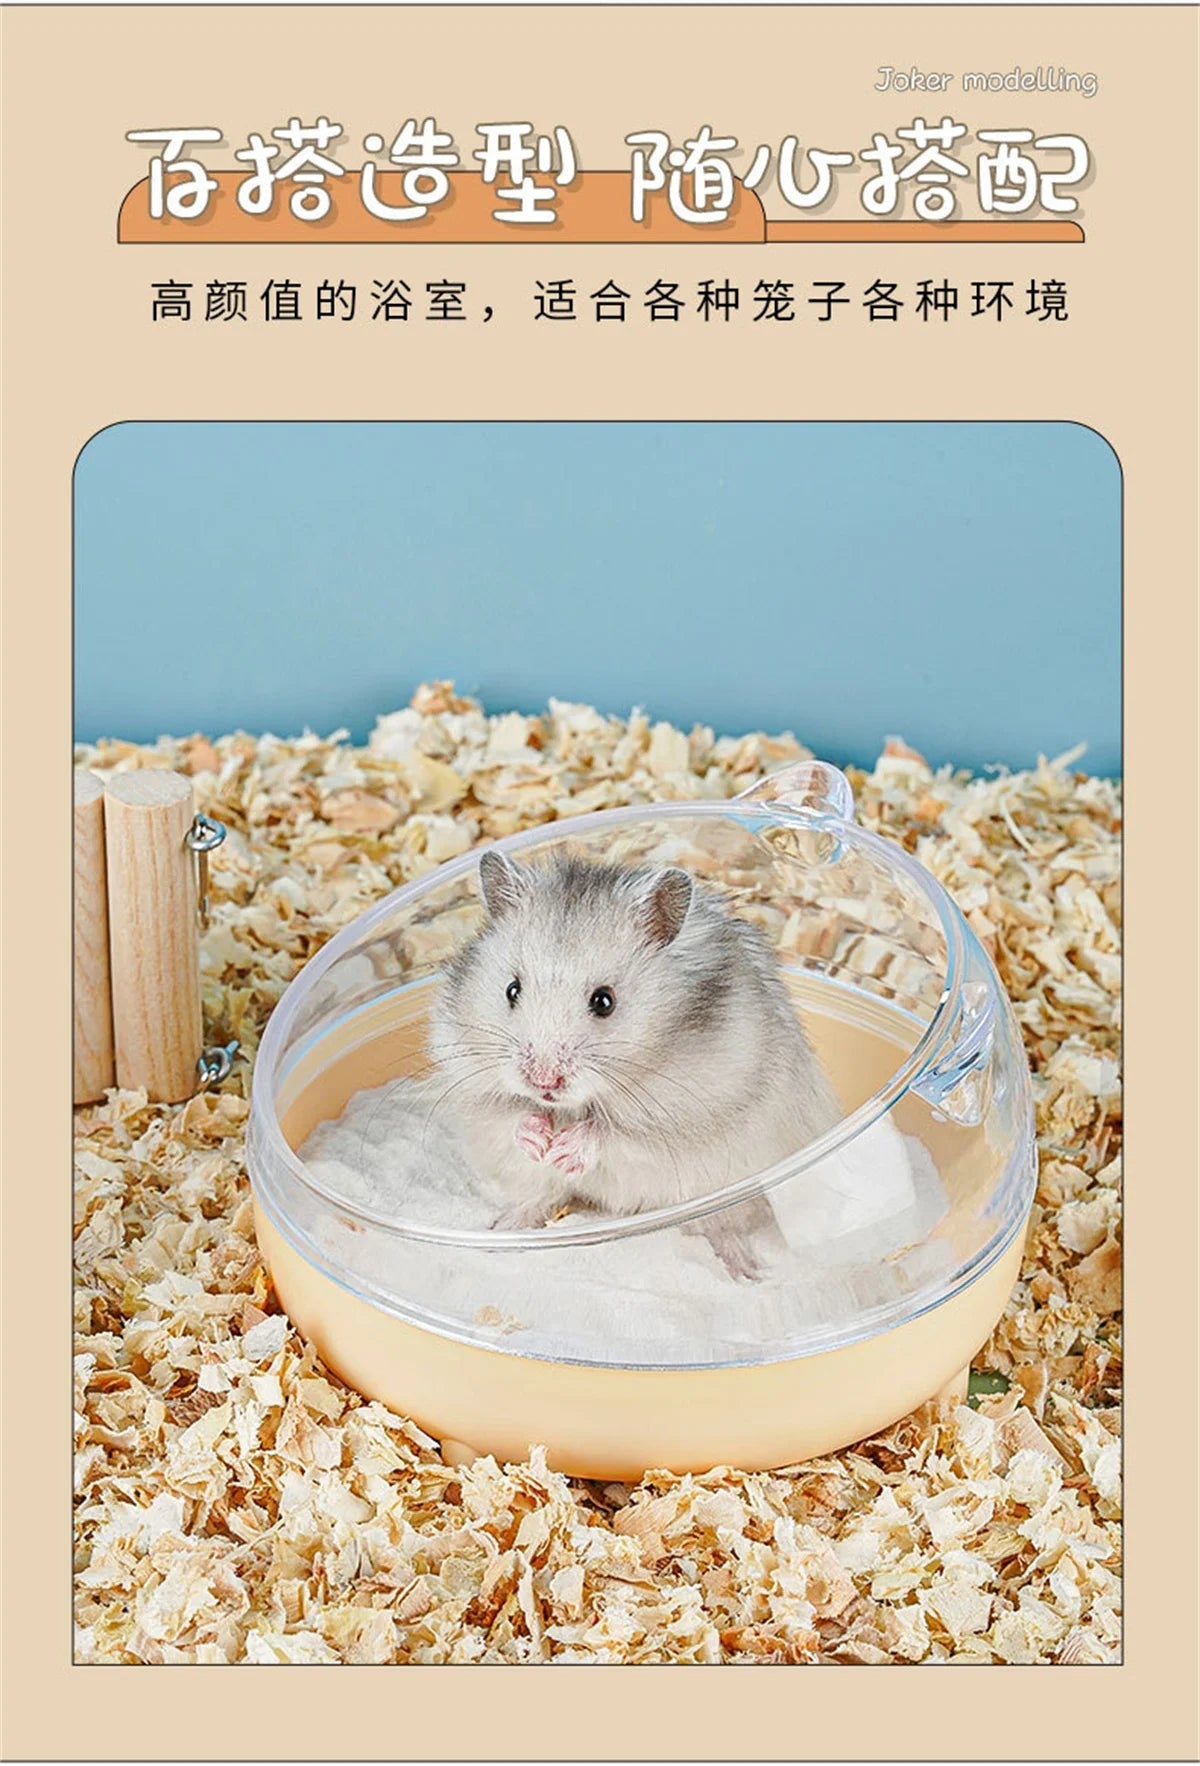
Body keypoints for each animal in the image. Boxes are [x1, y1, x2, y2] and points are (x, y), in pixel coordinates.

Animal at [427, 849, 844, 1277]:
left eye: (604, 1001)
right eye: (512, 990)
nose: (543, 1081)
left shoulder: (687, 1116)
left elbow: (617, 1134)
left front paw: (564, 1150)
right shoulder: (471, 1080)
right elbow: (507, 1114)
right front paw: (539, 1140)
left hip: (729, 1193)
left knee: (722, 1228)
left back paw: (747, 1272)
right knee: (536, 1199)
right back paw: (499, 1233)